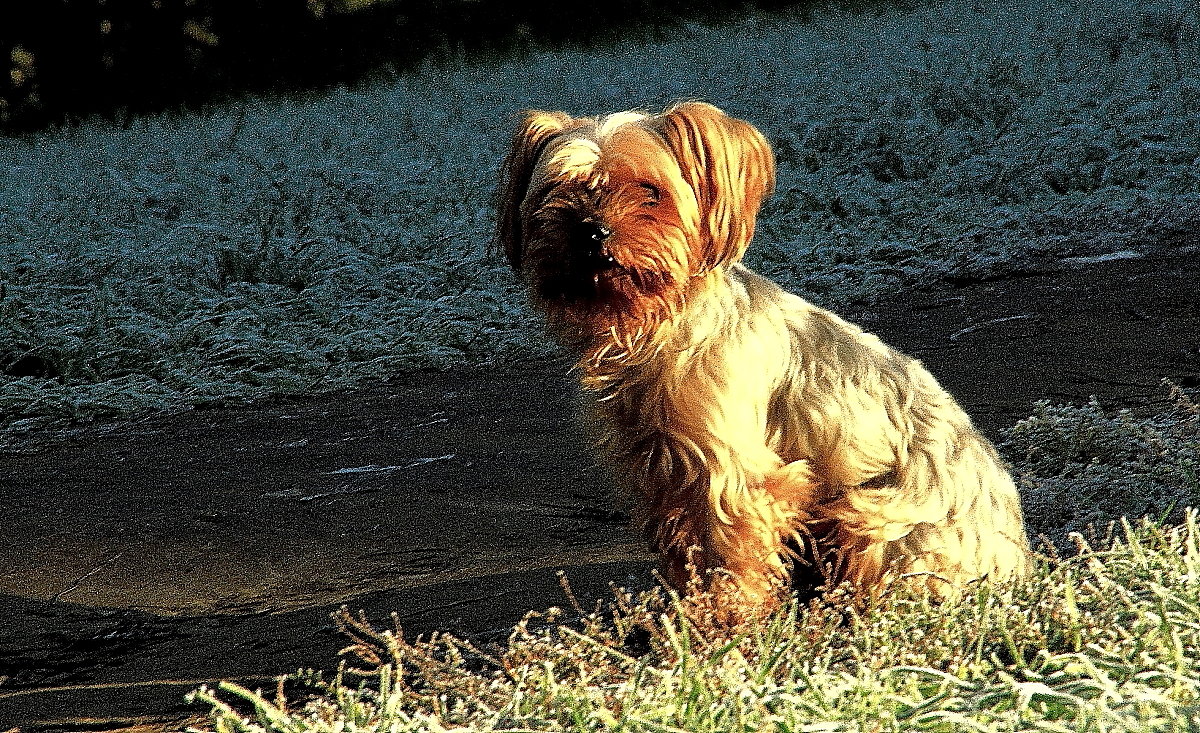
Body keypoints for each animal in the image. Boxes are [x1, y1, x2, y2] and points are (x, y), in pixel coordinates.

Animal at [496, 101, 1032, 614]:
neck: (658, 326)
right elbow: (684, 552)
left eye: (650, 191)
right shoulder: (660, 473)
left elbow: (730, 554)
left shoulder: (732, 476)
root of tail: (1018, 562)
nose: (592, 231)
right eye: (559, 191)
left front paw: (726, 623)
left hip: (873, 516)